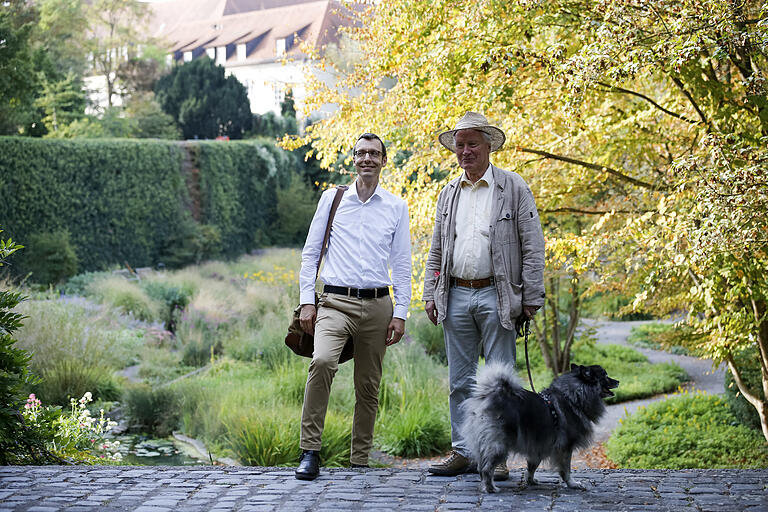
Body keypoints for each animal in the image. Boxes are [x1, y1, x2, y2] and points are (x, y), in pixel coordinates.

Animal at [462, 362, 616, 494]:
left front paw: (530, 481)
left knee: (481, 467)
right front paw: (572, 484)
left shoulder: (538, 447)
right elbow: (566, 470)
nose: (618, 381)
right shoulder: (565, 448)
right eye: (605, 376)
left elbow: (532, 467)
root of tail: (489, 396)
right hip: (499, 445)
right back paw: (490, 488)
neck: (572, 397)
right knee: (487, 468)